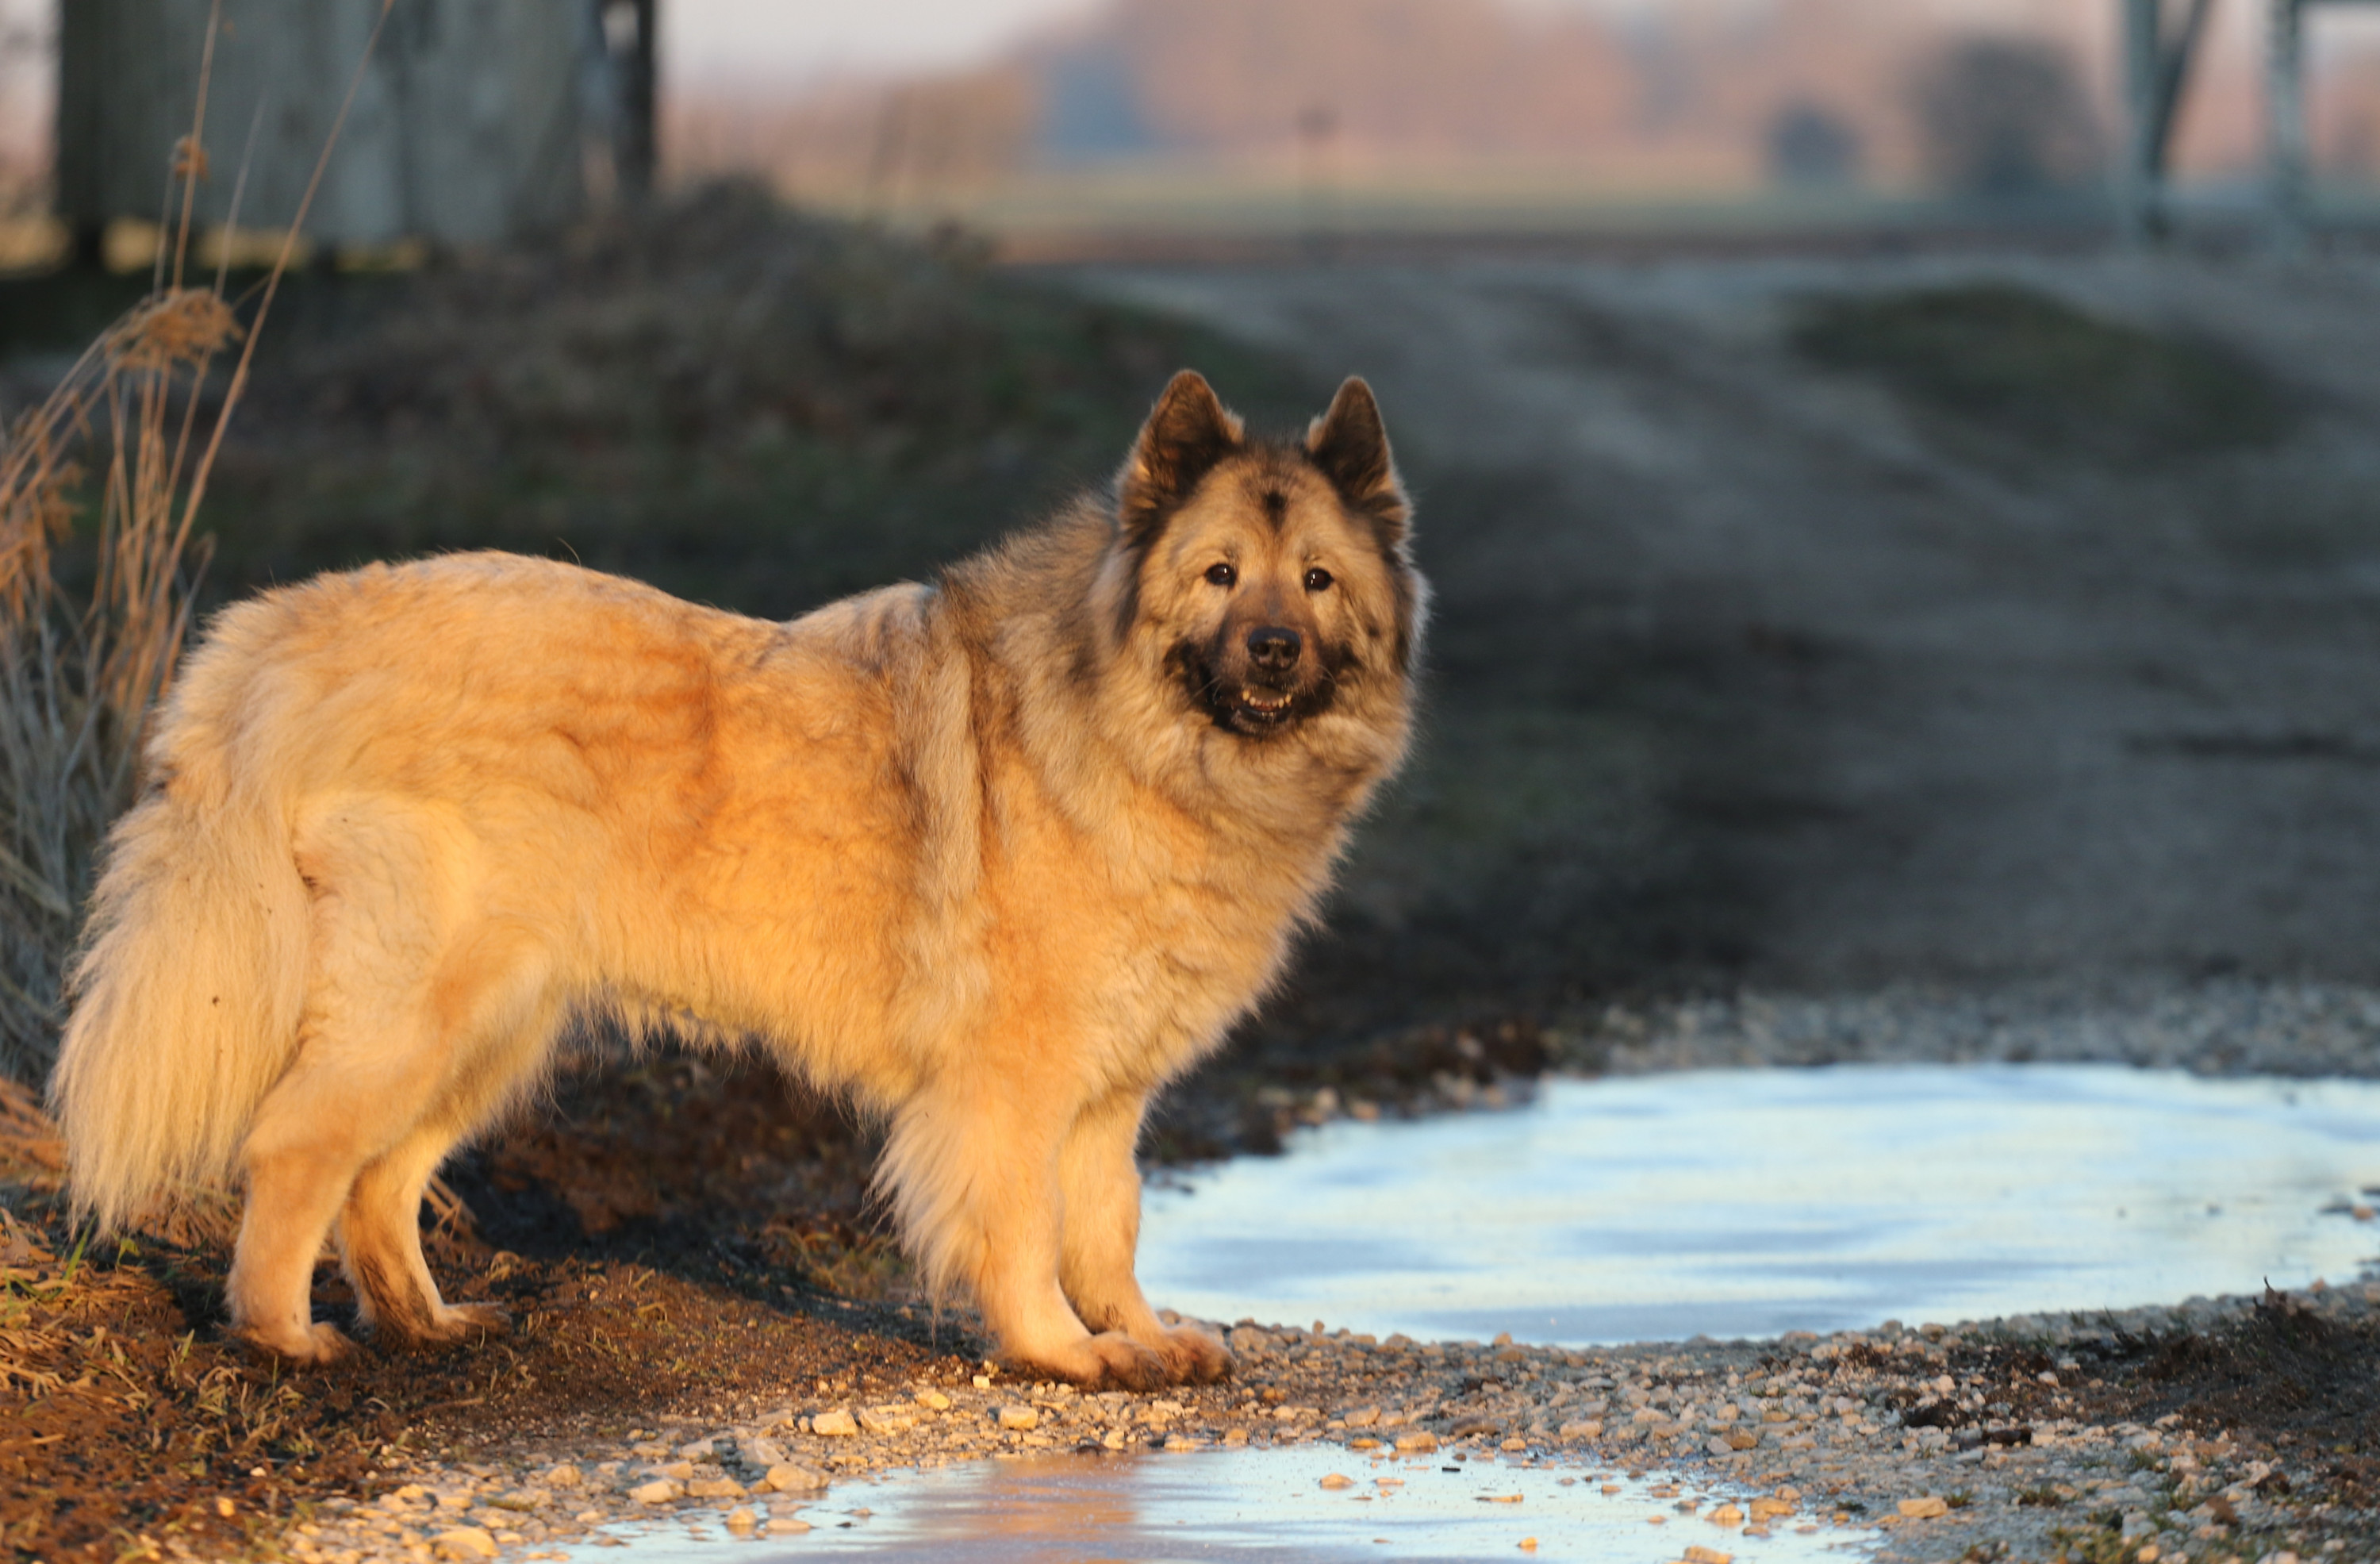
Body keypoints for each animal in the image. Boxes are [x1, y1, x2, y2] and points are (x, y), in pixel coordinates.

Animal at [46, 369, 1418, 1390]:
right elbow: (1024, 1229)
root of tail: (292, 629)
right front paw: (1061, 1349)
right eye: (1219, 574)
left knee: (382, 1180)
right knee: (296, 1151)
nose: (1276, 651)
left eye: (1317, 581)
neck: (1132, 732)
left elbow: (1109, 1221)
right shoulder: (1011, 1084)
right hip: (419, 1009)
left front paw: (1136, 1331)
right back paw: (284, 1334)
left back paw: (426, 1324)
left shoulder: (1107, 1096)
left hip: (497, 1023)